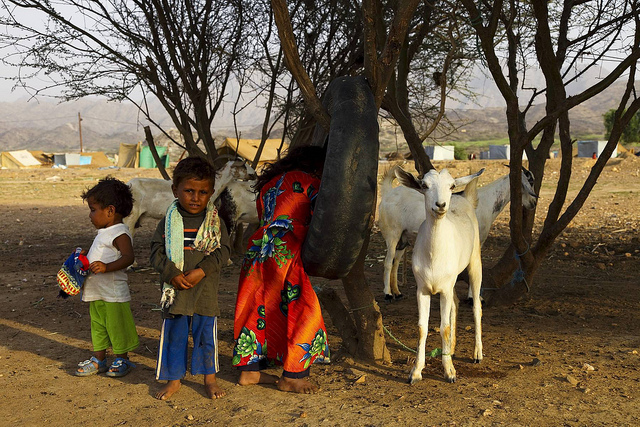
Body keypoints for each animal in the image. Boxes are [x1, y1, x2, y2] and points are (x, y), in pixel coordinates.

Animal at [378, 166, 536, 300]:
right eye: (530, 182)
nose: (533, 202)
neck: (486, 201)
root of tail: (387, 193)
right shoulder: (477, 240)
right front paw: (473, 297)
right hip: (392, 233)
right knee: (388, 262)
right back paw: (387, 293)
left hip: (403, 237)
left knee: (396, 261)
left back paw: (397, 292)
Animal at [392, 167, 482, 384]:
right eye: (424, 185)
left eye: (451, 185)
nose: (440, 205)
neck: (433, 257)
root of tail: (464, 197)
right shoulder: (423, 289)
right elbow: (422, 328)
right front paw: (416, 371)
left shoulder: (445, 290)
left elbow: (444, 327)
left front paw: (450, 371)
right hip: (451, 280)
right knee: (456, 303)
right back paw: (452, 348)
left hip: (475, 259)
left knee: (476, 306)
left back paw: (477, 354)